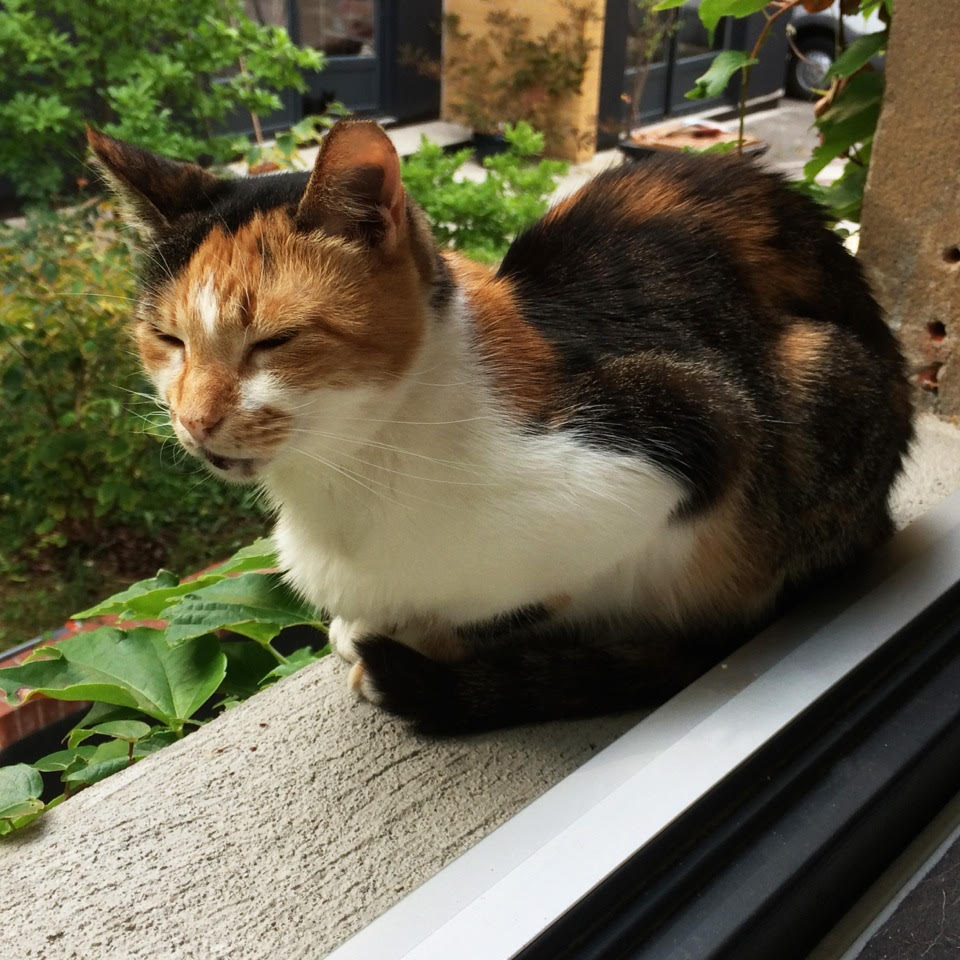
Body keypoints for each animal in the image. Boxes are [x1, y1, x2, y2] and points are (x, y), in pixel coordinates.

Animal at [88, 120, 916, 736]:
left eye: (275, 341)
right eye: (167, 339)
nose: (195, 418)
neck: (349, 477)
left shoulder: (684, 437)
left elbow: (518, 601)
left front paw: (405, 644)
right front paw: (368, 626)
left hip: (820, 377)